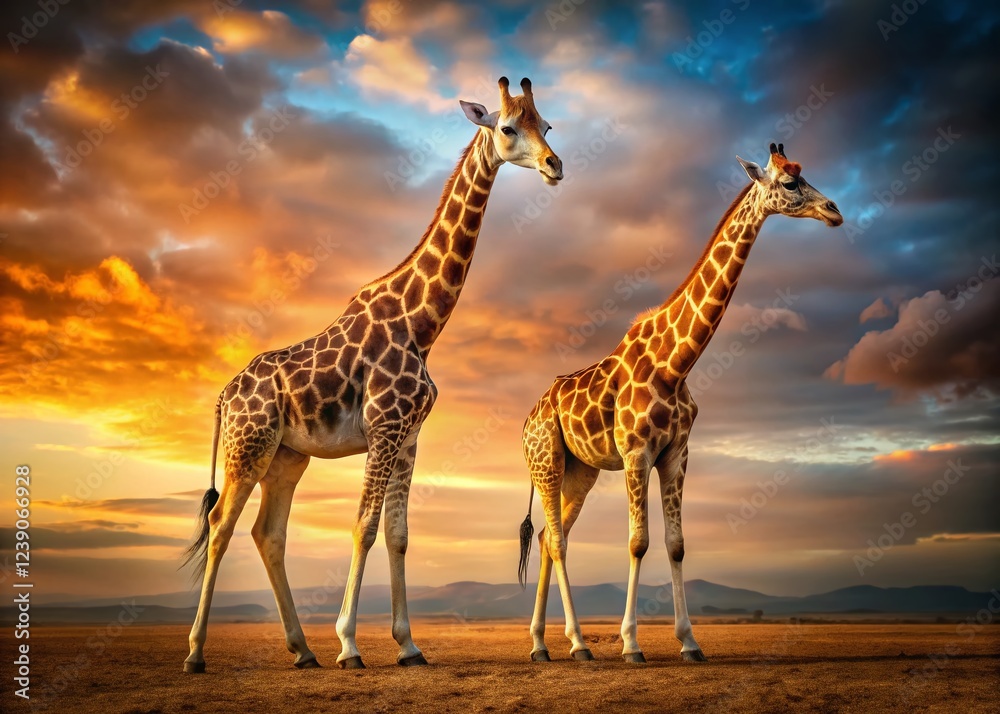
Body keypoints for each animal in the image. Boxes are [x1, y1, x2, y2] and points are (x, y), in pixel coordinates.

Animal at [182, 76, 562, 673]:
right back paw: (197, 653)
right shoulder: (384, 427)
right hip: (248, 447)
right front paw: (350, 644)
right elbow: (362, 525)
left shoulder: (408, 436)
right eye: (506, 128)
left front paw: (408, 646)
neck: (422, 325)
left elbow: (398, 533)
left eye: (546, 125)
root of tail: (224, 396)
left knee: (268, 534)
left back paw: (302, 650)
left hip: (286, 458)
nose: (554, 165)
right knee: (221, 527)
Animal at [517, 143, 842, 663]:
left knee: (550, 537)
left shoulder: (676, 454)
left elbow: (675, 544)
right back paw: (578, 644)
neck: (676, 362)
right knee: (559, 542)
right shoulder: (636, 453)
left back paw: (545, 644)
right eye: (791, 182)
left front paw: (690, 641)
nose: (834, 211)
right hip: (546, 460)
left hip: (579, 470)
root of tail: (527, 420)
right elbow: (638, 542)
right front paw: (631, 644)